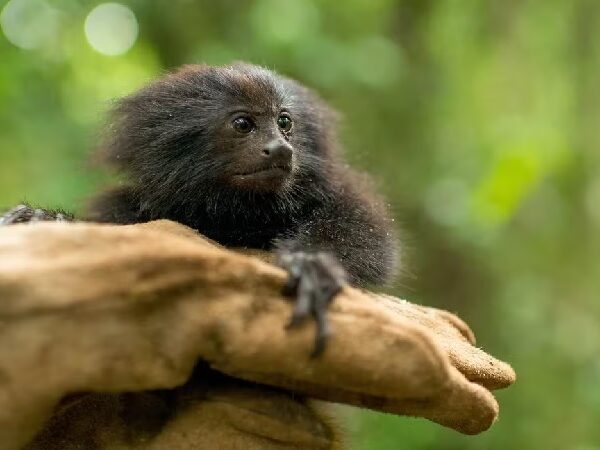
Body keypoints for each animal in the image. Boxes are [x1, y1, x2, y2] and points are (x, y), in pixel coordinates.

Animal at [3, 63, 404, 356]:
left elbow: (369, 237)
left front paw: (312, 265)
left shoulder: (339, 188)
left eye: (284, 122)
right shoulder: (127, 205)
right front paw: (45, 218)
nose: (280, 149)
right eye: (243, 124)